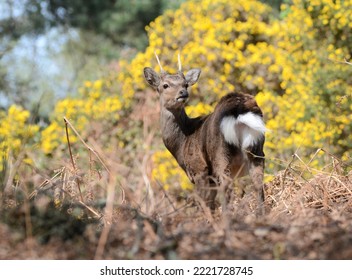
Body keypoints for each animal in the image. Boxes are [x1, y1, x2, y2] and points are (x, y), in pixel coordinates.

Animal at [142, 53, 264, 212]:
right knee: (259, 183)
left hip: (220, 154)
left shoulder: (199, 168)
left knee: (227, 190)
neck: (181, 143)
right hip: (256, 148)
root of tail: (238, 108)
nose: (183, 93)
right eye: (165, 85)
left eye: (185, 84)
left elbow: (205, 204)